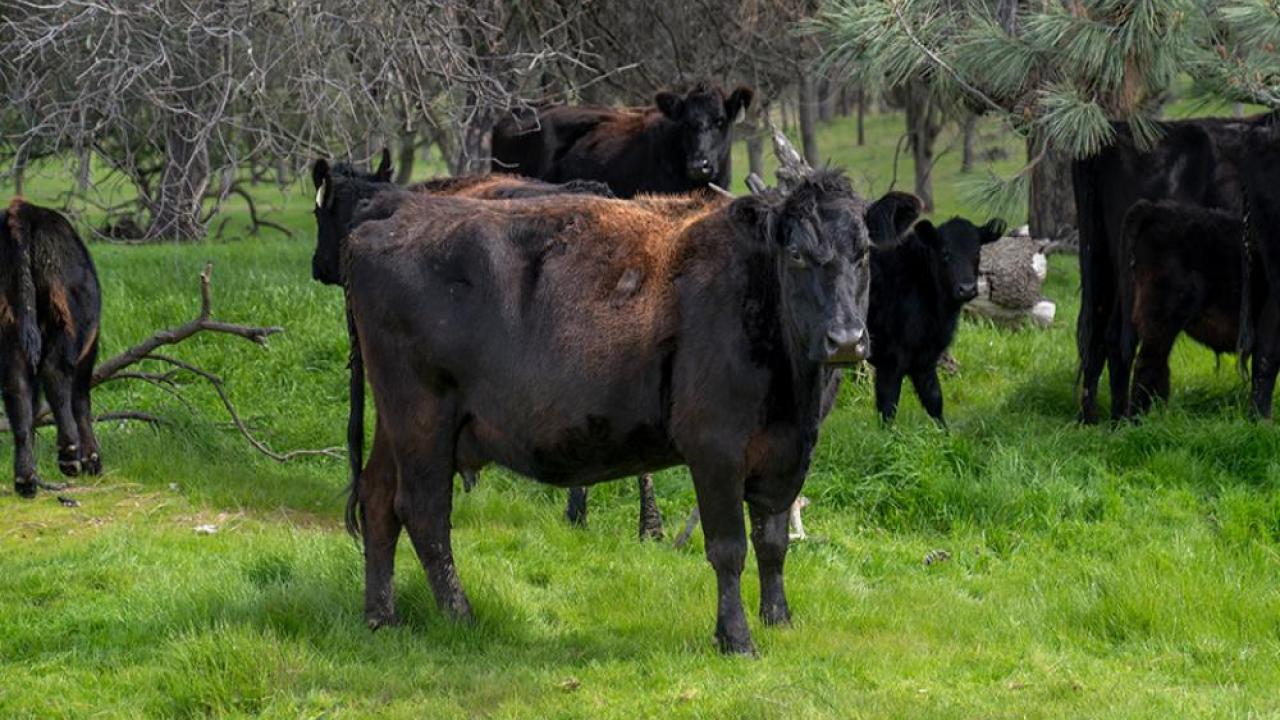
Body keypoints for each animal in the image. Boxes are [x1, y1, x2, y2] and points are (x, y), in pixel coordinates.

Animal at [1, 198, 102, 498]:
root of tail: (23, 208)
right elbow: (81, 401)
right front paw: (91, 457)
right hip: (64, 322)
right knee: (55, 376)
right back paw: (68, 453)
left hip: (11, 333)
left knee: (18, 395)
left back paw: (25, 479)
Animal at [342, 169, 872, 654]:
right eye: (797, 254)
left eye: (864, 251)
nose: (846, 340)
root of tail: (396, 211)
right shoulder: (715, 448)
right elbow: (729, 548)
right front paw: (736, 638)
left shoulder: (782, 453)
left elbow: (773, 543)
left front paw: (779, 619)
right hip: (422, 415)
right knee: (424, 510)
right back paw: (460, 615)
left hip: (396, 420)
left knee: (377, 497)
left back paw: (380, 617)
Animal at [867, 209, 1006, 423]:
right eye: (945, 253)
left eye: (977, 252)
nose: (967, 289)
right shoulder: (890, 359)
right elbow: (888, 406)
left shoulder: (926, 357)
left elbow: (934, 399)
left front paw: (944, 431)